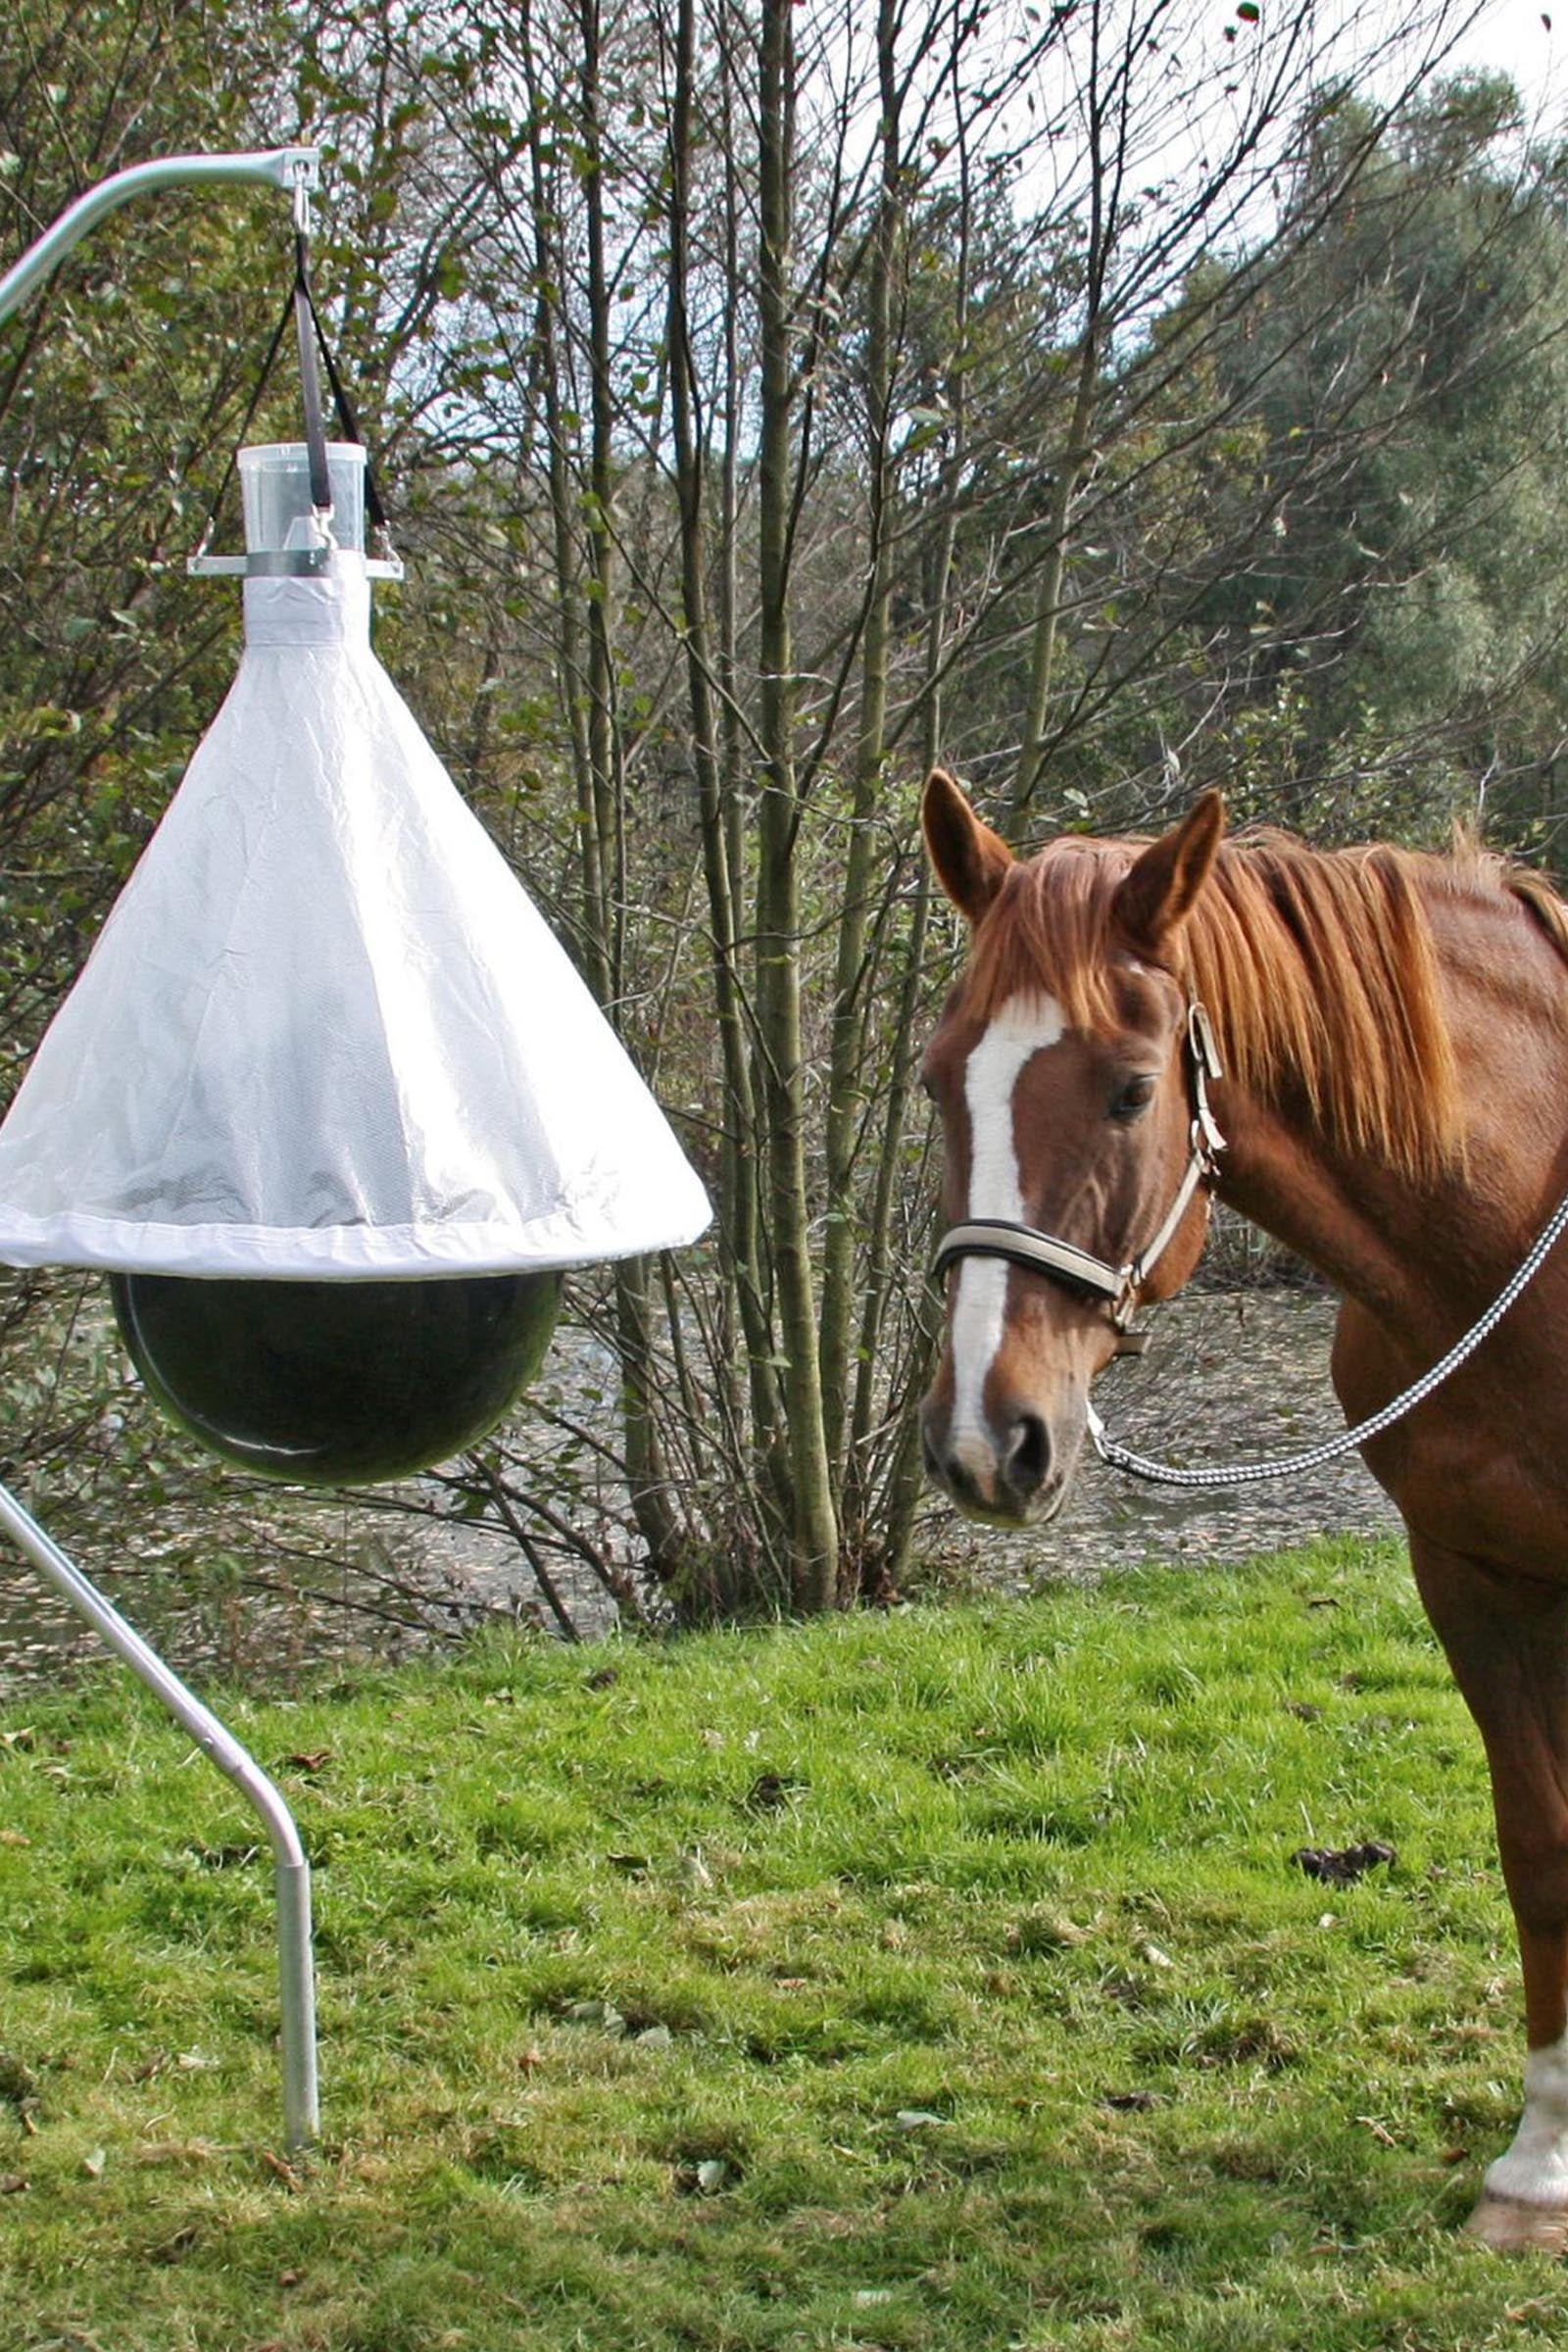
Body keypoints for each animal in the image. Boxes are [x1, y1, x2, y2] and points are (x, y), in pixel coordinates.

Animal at [917, 765, 1568, 2253]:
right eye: (937, 1079)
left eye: (1130, 1090)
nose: (990, 1438)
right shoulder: (1474, 1577)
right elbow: (1542, 1844)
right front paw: (1541, 2163)